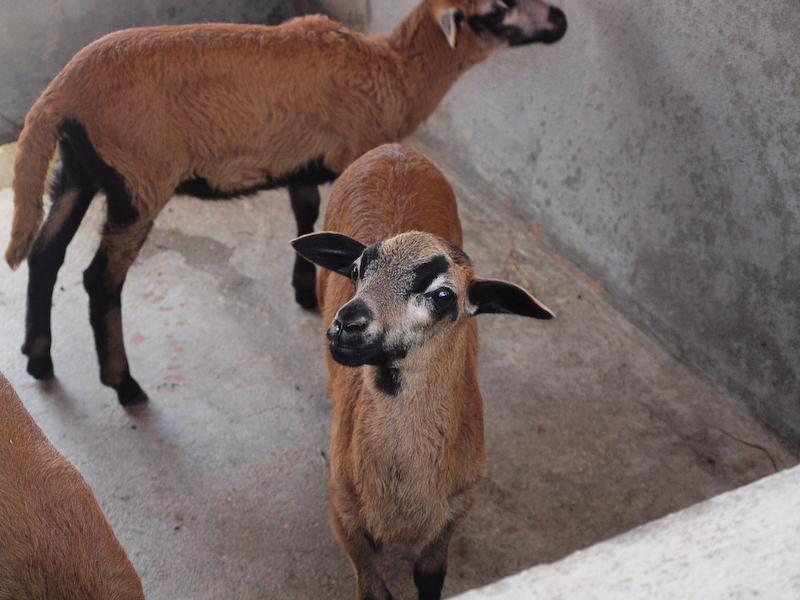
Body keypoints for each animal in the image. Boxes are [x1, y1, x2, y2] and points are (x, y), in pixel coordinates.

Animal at [3, 0, 564, 408]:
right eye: (497, 8)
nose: (559, 19)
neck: (394, 73)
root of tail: (57, 96)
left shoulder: (301, 161)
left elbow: (305, 213)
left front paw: (302, 287)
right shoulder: (355, 152)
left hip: (79, 171)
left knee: (46, 253)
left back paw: (38, 359)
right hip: (138, 181)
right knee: (100, 279)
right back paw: (123, 385)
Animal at [294, 142, 556, 600]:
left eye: (442, 295)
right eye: (357, 269)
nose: (346, 324)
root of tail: (395, 149)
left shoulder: (455, 510)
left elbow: (430, 576)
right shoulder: (343, 513)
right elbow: (374, 591)